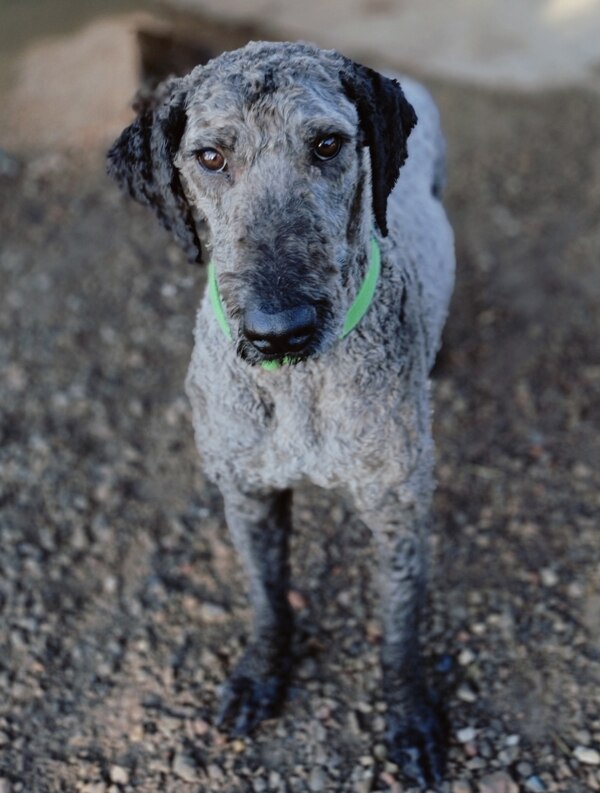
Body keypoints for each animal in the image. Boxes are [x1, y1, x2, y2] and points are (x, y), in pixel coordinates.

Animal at [108, 38, 454, 784]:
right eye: (210, 156)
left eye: (327, 144)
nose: (279, 331)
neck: (300, 388)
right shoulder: (247, 493)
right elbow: (268, 597)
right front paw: (261, 675)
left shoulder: (398, 509)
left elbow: (400, 624)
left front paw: (410, 716)